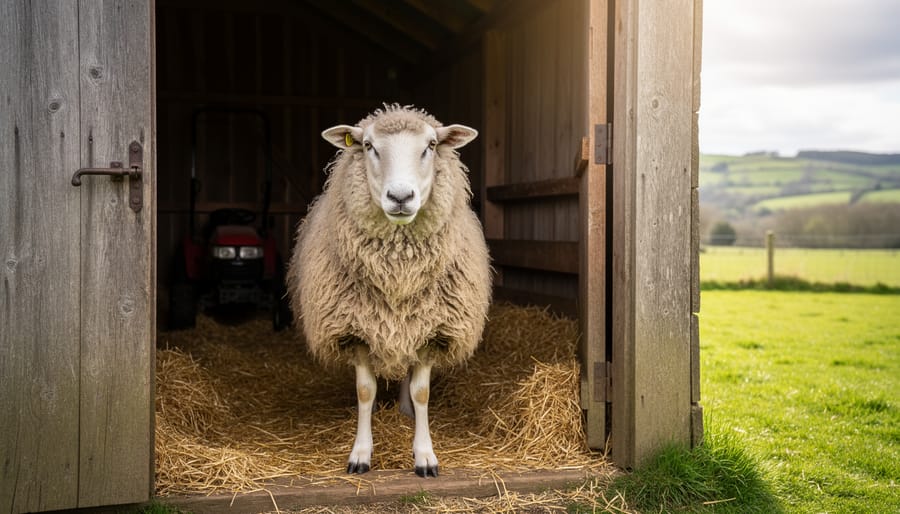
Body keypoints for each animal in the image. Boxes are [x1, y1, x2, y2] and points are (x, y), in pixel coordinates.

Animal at [287, 105, 491, 478]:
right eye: (368, 145)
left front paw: (425, 456)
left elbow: (422, 392)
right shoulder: (355, 331)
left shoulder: (433, 332)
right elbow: (365, 392)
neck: (398, 275)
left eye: (431, 145)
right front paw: (360, 454)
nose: (400, 197)